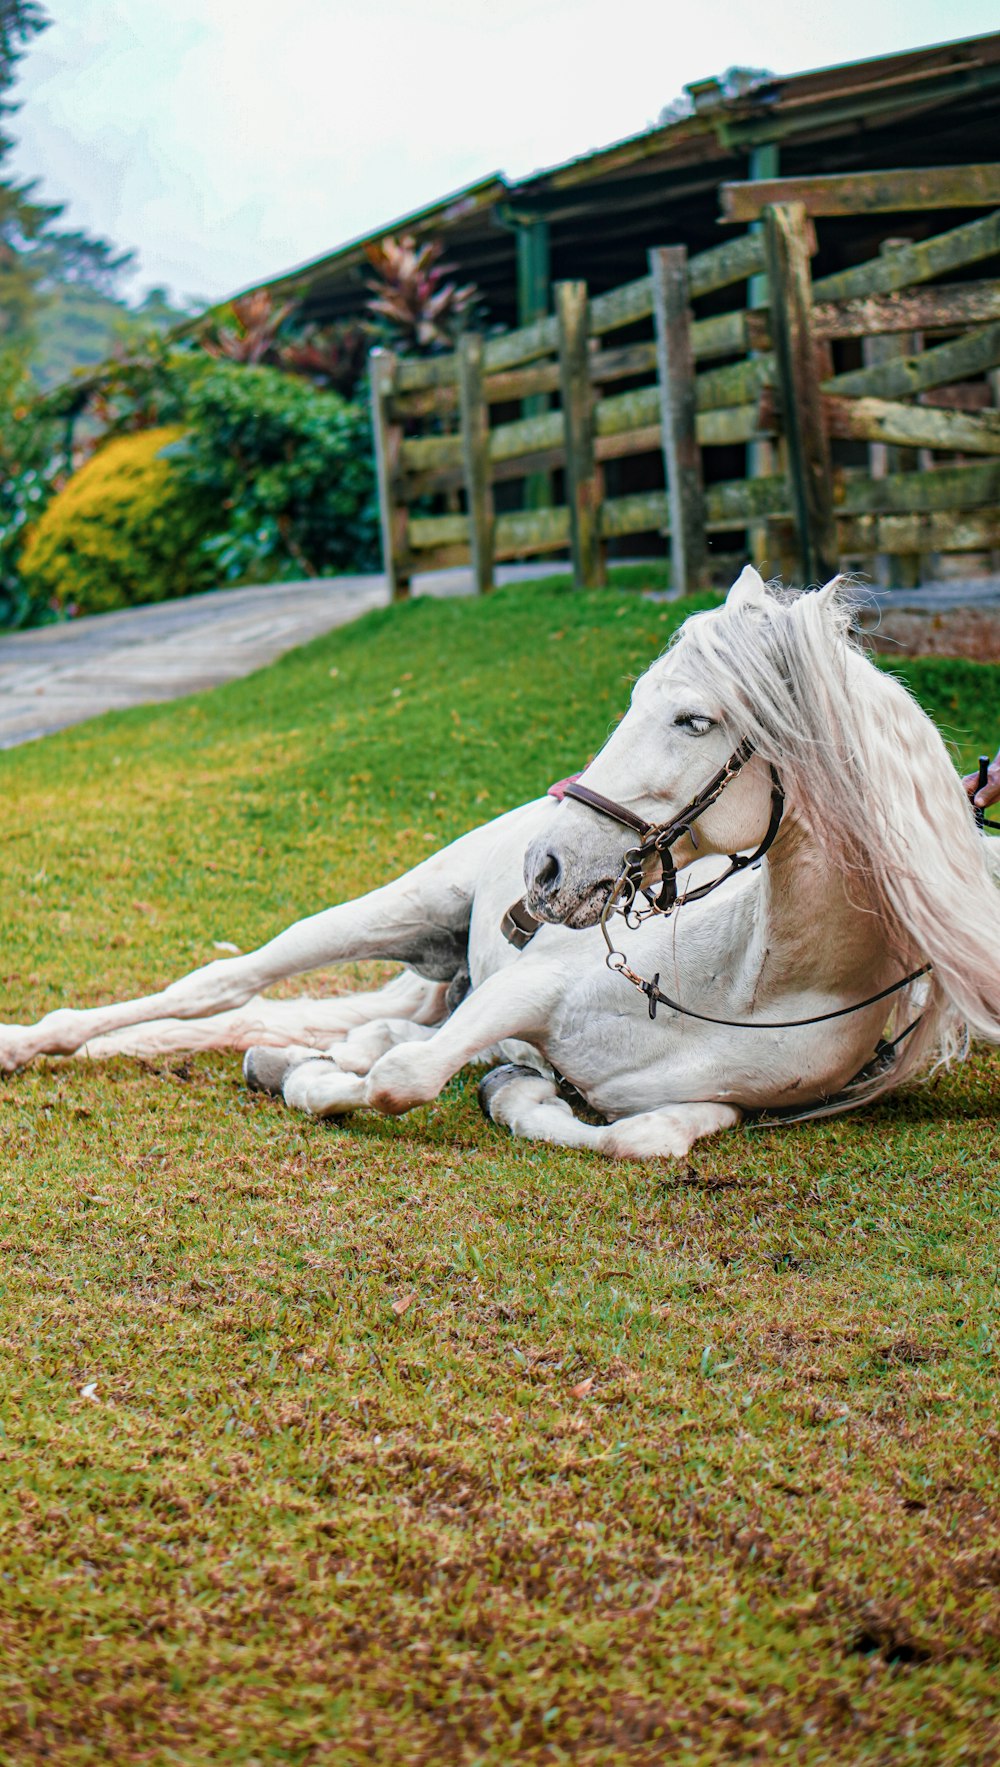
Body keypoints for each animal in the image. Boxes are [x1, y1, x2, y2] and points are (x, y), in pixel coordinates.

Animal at [1, 565, 1000, 1166]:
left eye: (694, 720)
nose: (546, 866)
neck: (755, 982)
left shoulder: (688, 1098)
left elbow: (639, 1134)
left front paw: (499, 1090)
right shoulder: (527, 990)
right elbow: (399, 1081)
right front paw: (306, 1078)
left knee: (351, 1024)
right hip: (396, 907)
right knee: (223, 983)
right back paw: (32, 1042)